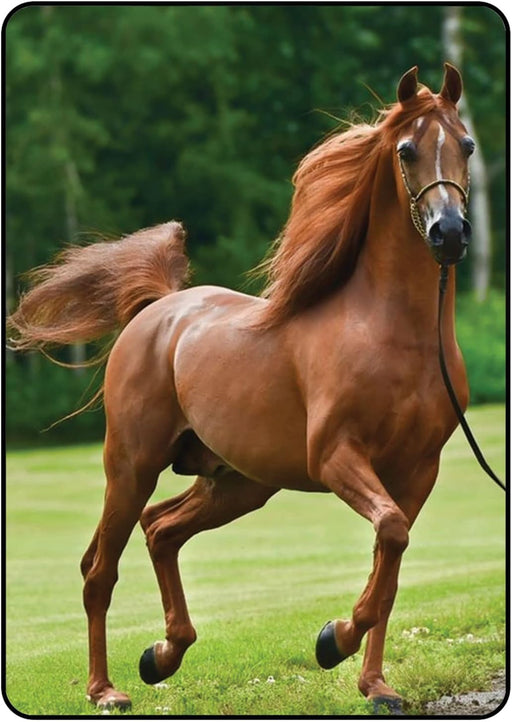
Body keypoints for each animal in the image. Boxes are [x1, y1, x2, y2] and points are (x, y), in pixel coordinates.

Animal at [7, 64, 474, 713]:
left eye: (468, 145)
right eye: (407, 150)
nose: (448, 233)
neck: (393, 334)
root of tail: (157, 310)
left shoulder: (418, 470)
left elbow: (391, 566)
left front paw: (375, 685)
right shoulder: (336, 457)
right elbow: (389, 534)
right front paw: (333, 641)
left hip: (238, 483)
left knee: (161, 530)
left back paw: (162, 654)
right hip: (131, 466)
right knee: (100, 570)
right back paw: (106, 690)